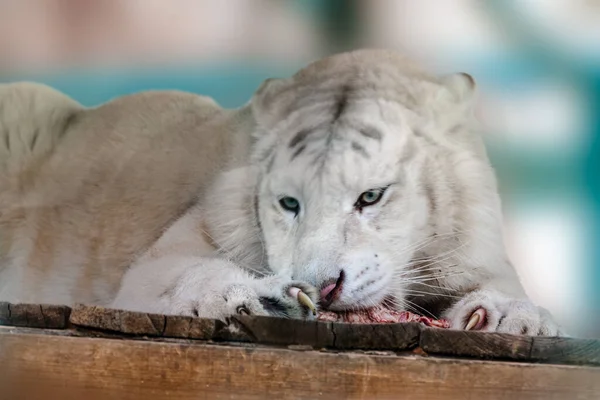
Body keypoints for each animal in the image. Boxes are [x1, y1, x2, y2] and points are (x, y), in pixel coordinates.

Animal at [0, 50, 564, 338]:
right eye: (289, 203)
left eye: (371, 197)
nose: (322, 286)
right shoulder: (161, 260)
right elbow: (190, 273)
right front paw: (259, 297)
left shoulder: (477, 254)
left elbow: (502, 289)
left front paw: (514, 316)